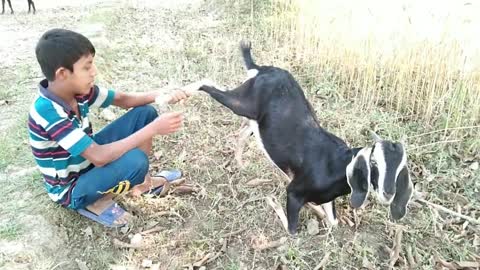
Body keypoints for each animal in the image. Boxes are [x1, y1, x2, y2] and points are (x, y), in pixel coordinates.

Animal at [198, 41, 412, 233]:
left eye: (401, 169)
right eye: (373, 163)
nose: (388, 193)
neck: (336, 166)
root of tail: (261, 69)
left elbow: (333, 222)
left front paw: (318, 212)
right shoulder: (294, 192)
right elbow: (292, 230)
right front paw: (273, 202)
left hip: (254, 117)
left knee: (244, 132)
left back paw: (241, 164)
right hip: (243, 103)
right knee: (212, 87)